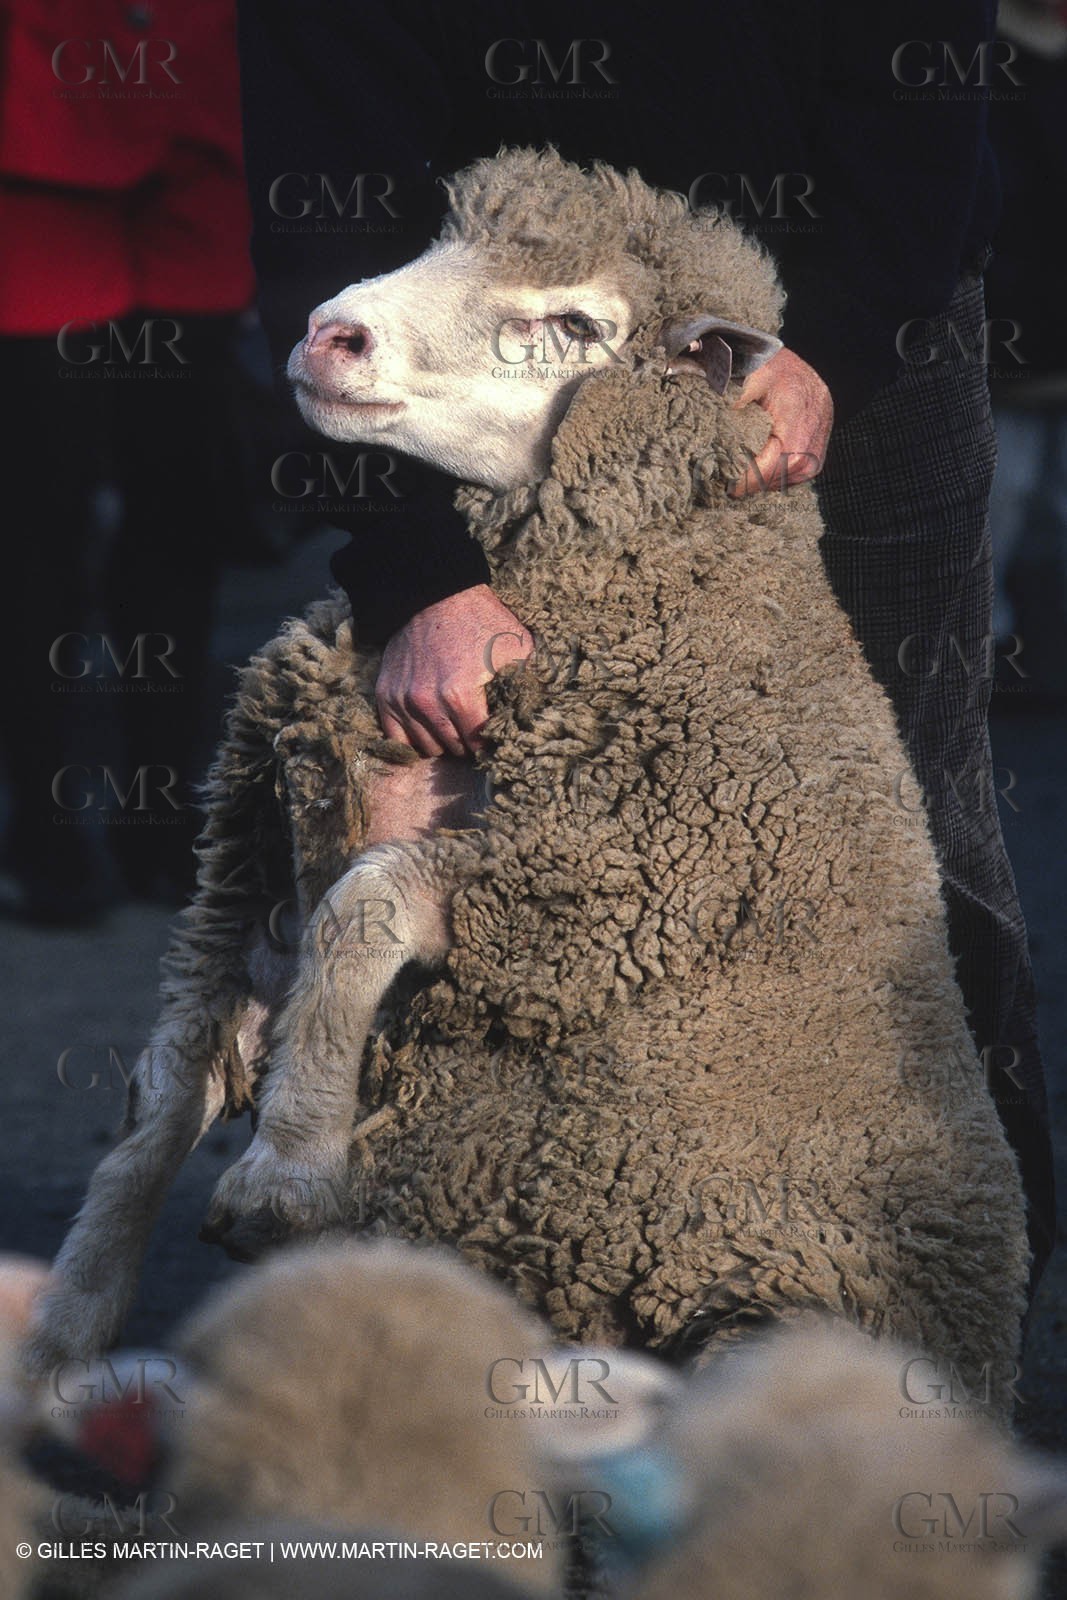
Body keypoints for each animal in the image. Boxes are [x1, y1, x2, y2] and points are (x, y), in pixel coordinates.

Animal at [26, 148, 1029, 1418]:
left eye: (570, 324)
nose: (325, 333)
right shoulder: (248, 867)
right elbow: (164, 1079)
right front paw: (64, 1327)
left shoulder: (597, 888)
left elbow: (363, 903)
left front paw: (283, 1168)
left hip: (766, 1297)